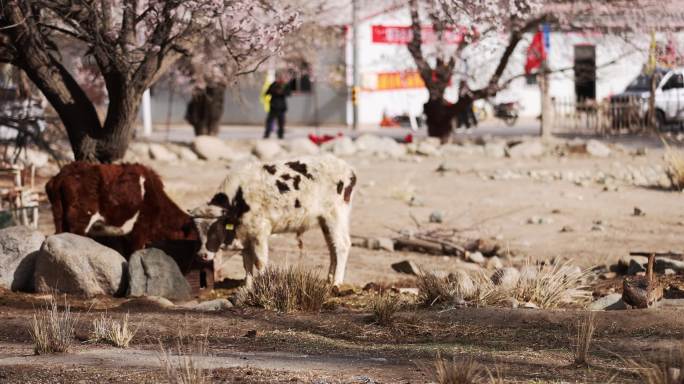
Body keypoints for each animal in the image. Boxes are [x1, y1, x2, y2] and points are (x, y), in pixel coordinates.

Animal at [45, 160, 196, 256]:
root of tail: (63, 173)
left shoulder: (125, 235)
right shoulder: (141, 228)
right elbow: (134, 253)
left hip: (58, 215)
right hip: (80, 219)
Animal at [190, 154, 356, 286]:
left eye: (214, 230)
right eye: (197, 232)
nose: (202, 255)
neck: (240, 199)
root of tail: (348, 169)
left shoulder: (260, 233)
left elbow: (260, 262)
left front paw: (264, 285)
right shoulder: (246, 235)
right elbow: (247, 263)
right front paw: (248, 288)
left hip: (336, 216)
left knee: (342, 245)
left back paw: (336, 283)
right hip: (325, 221)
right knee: (332, 247)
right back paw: (329, 279)